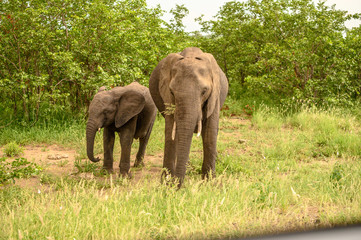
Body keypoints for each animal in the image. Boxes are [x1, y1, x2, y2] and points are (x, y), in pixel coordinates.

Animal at [148, 46, 228, 186]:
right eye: (172, 92)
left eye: (204, 91)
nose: (178, 186)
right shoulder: (167, 98)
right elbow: (171, 132)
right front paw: (166, 183)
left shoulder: (215, 95)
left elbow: (210, 133)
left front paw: (210, 183)